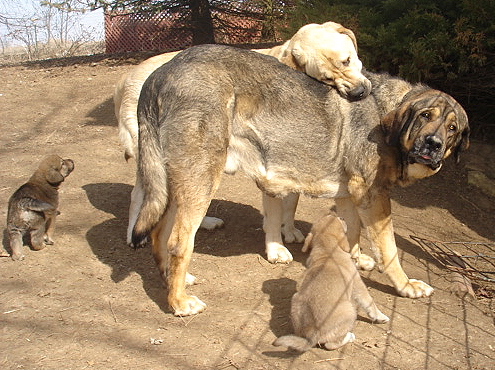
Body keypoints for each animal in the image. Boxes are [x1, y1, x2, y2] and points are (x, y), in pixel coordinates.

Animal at [115, 21, 372, 260]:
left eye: (347, 60)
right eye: (326, 77)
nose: (358, 93)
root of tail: (129, 77)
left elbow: (291, 203)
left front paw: (289, 231)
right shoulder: (270, 170)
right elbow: (274, 212)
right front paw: (276, 248)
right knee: (141, 196)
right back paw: (134, 237)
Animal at [274, 212, 390, 352]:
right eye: (339, 219)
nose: (342, 216)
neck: (327, 250)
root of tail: (312, 335)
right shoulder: (357, 283)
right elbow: (369, 302)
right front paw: (380, 317)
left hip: (296, 299)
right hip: (350, 310)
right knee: (330, 345)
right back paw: (349, 336)